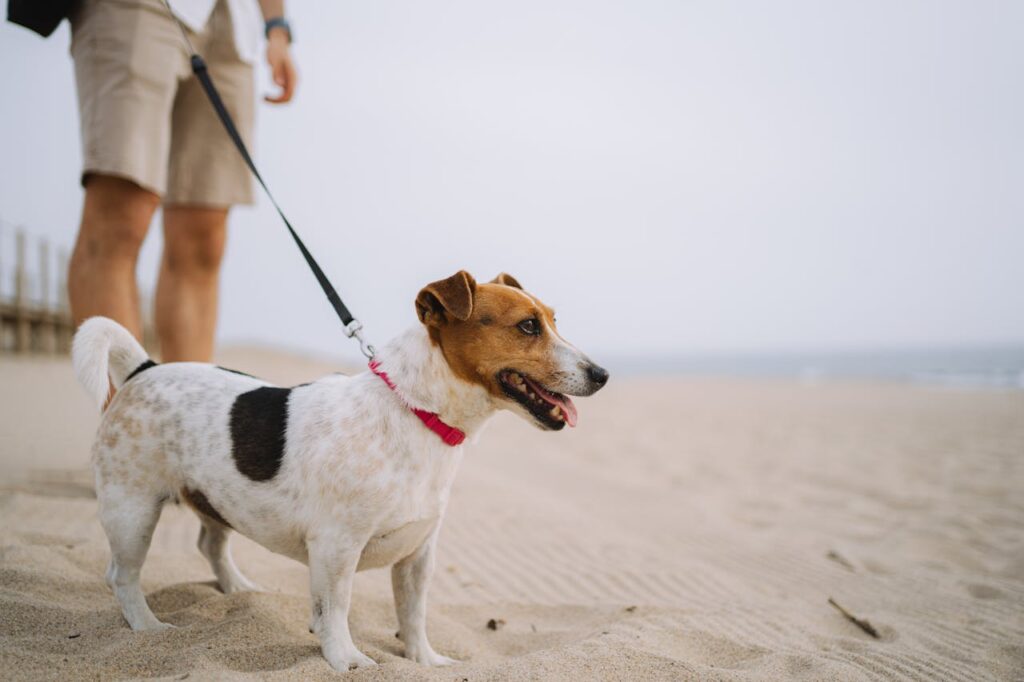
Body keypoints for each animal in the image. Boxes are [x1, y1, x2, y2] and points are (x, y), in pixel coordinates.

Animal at [72, 270, 606, 667]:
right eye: (528, 327)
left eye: (553, 320)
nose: (602, 374)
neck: (414, 412)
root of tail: (144, 368)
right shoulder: (336, 546)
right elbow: (336, 609)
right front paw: (346, 659)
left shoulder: (419, 553)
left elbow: (413, 614)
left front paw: (425, 661)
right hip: (133, 512)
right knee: (122, 574)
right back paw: (148, 628)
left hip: (215, 498)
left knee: (211, 543)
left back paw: (238, 591)